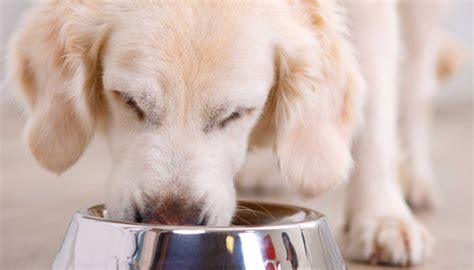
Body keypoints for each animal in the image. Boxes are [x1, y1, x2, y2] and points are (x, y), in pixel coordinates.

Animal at [7, 0, 460, 266]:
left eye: (237, 114)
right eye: (129, 101)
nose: (172, 221)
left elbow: (376, 113)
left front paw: (381, 218)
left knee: (415, 82)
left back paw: (414, 180)